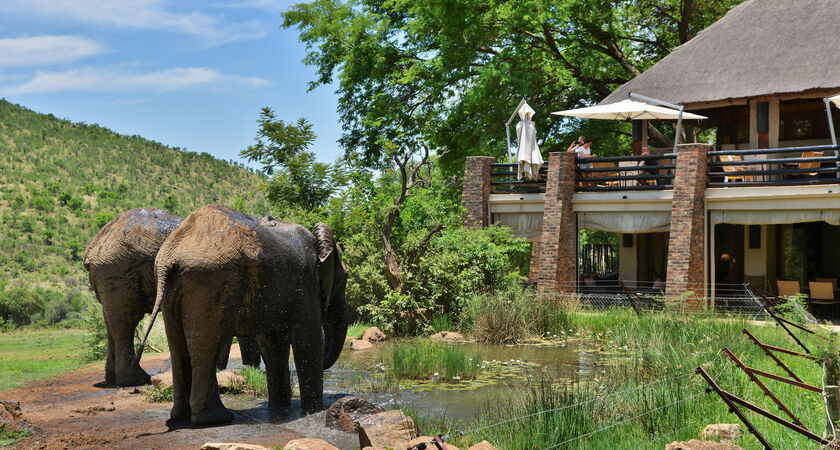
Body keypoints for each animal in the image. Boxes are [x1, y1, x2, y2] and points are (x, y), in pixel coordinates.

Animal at [85, 207, 260, 386]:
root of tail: (93, 248)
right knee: (126, 321)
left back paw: (112, 379)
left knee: (110, 322)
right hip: (118, 270)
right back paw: (136, 380)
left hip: (109, 273)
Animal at [136, 205, 346, 426]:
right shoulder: (306, 283)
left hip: (173, 287)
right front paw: (315, 411)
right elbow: (309, 338)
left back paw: (181, 417)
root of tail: (170, 255)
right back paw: (216, 419)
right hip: (209, 281)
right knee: (205, 347)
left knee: (179, 348)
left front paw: (280, 408)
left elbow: (273, 342)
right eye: (345, 280)